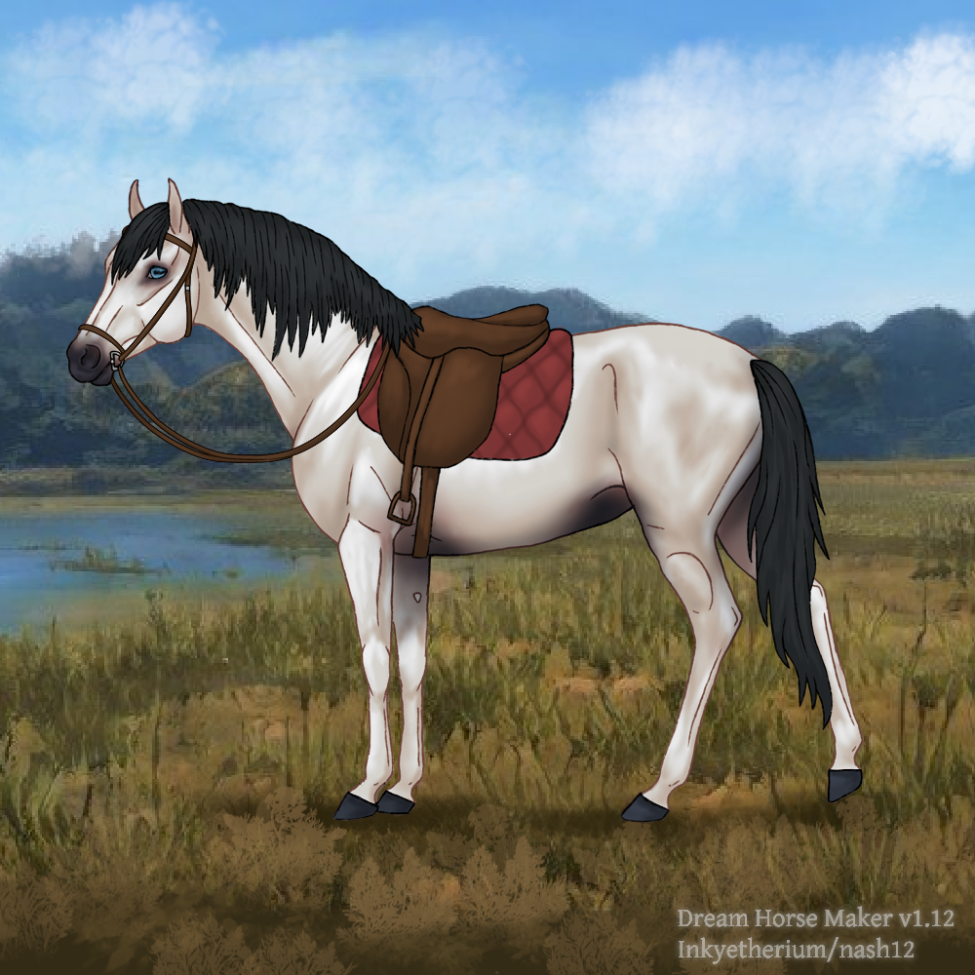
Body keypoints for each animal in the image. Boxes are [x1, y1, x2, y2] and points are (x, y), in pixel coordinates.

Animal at [66, 178, 863, 821]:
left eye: (155, 269)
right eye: (111, 268)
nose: (83, 356)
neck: (337, 375)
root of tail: (749, 363)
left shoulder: (361, 541)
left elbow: (373, 658)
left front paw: (363, 789)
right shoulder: (410, 551)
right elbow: (414, 661)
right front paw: (404, 789)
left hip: (680, 531)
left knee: (717, 623)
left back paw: (657, 792)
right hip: (735, 524)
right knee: (812, 600)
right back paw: (844, 765)